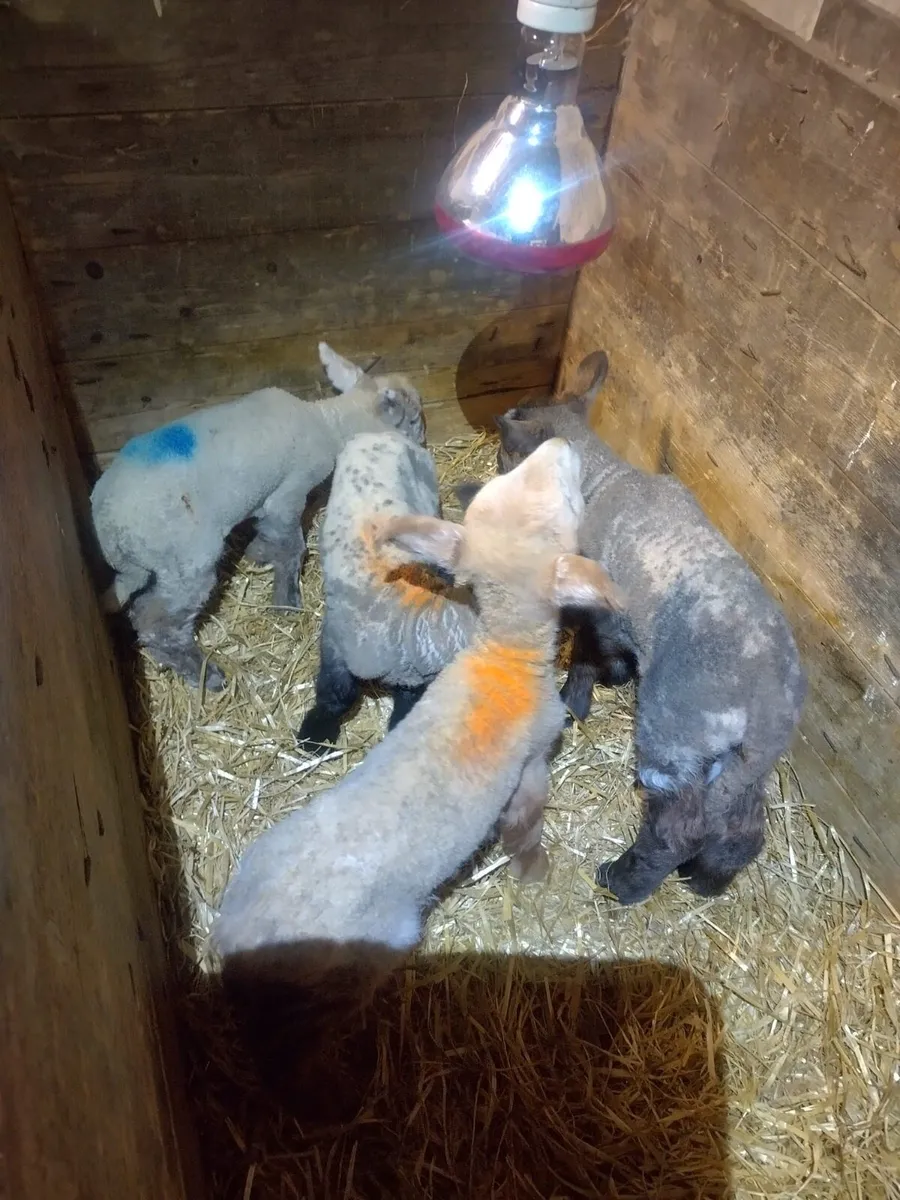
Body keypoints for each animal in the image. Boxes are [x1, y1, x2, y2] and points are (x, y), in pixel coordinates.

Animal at [90, 343, 425, 691]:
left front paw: (258, 552)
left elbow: (269, 533)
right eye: (414, 419)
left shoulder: (265, 502)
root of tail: (109, 530)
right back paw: (205, 675)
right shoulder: (289, 492)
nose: (423, 444)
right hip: (185, 562)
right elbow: (292, 546)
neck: (327, 423)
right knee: (156, 623)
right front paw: (286, 600)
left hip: (157, 566)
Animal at [495, 351, 807, 905]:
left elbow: (585, 652)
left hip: (676, 732)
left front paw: (575, 702)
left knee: (677, 829)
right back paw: (706, 880)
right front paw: (615, 675)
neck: (601, 481)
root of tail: (767, 702)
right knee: (741, 829)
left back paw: (623, 881)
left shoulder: (597, 601)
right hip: (745, 765)